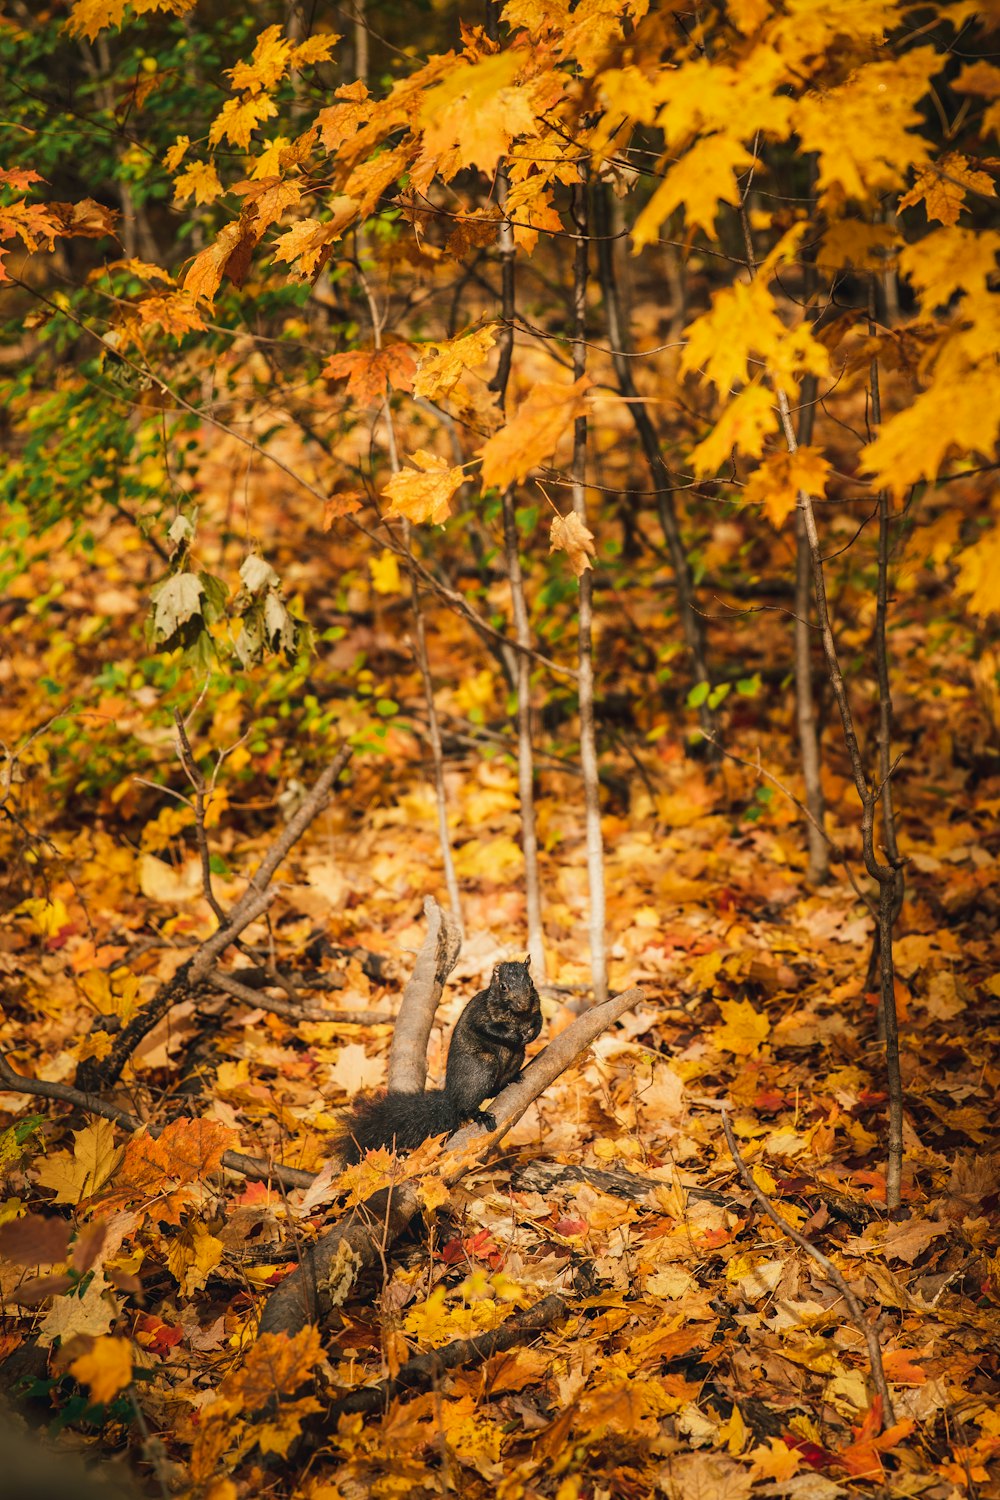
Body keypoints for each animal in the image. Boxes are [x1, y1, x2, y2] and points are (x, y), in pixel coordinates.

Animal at [335, 954, 539, 1164]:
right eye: (503, 987)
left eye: (531, 982)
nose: (524, 1005)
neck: (517, 1016)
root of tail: (451, 1097)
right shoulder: (481, 1014)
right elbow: (489, 1029)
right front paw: (514, 1035)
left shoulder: (536, 1009)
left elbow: (538, 1020)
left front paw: (532, 1033)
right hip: (483, 1066)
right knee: (466, 1107)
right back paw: (480, 1115)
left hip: (517, 1057)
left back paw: (512, 1079)